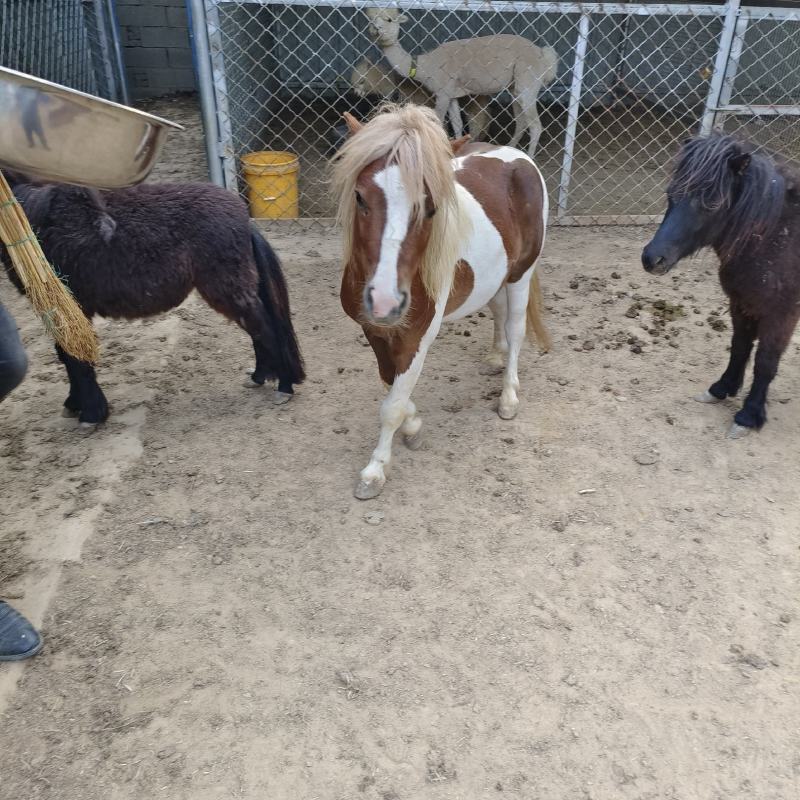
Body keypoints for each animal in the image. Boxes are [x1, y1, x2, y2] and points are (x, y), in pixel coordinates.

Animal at [1, 171, 305, 425]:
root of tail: (244, 219)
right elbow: (67, 355)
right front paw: (76, 404)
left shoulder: (69, 306)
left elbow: (75, 358)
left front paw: (90, 412)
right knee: (258, 329)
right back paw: (260, 377)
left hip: (227, 289)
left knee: (264, 328)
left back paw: (284, 386)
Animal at [331, 104, 550, 500]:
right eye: (359, 197)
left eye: (431, 207)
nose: (385, 301)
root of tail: (518, 156)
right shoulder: (374, 331)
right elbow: (390, 386)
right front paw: (413, 426)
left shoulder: (416, 337)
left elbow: (392, 405)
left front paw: (375, 471)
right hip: (493, 278)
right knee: (497, 312)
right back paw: (494, 356)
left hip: (520, 275)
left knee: (516, 329)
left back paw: (509, 397)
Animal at [642, 133, 799, 438]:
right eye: (670, 195)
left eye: (712, 204)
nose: (652, 259)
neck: (775, 237)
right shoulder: (741, 303)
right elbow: (739, 345)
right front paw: (721, 389)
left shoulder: (781, 314)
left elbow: (765, 361)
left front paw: (748, 416)